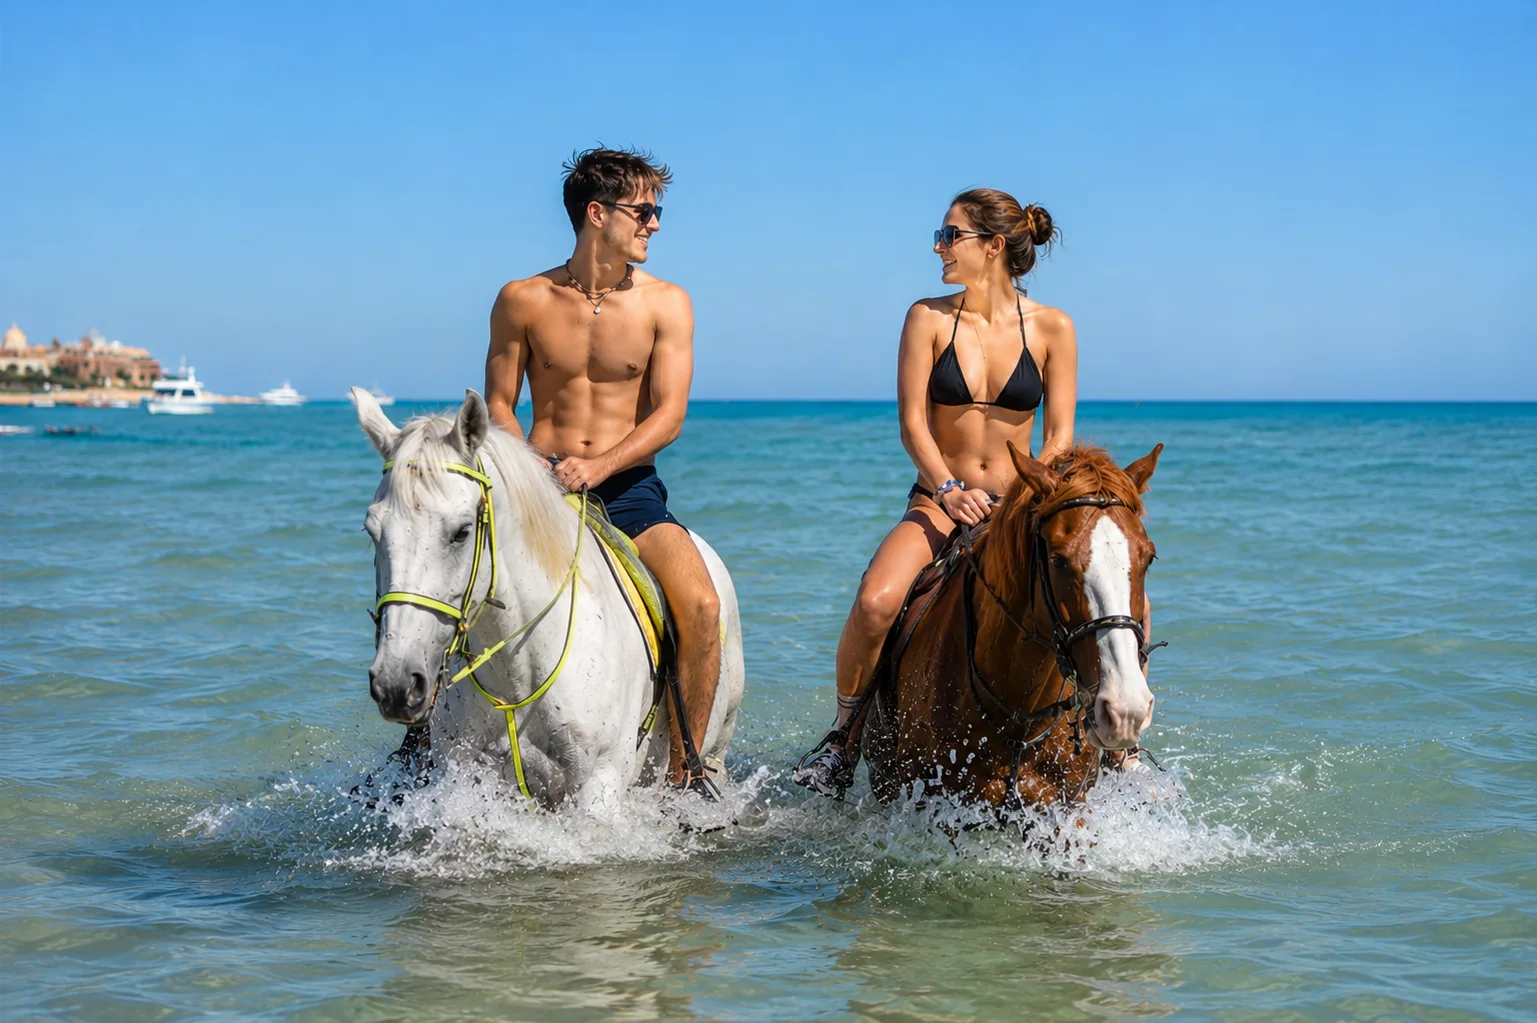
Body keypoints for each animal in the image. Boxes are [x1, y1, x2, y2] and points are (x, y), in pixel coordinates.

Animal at [352, 387, 746, 809]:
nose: (396, 685)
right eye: (372, 530)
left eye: (461, 531)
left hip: (715, 745)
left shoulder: (600, 785)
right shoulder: (471, 778)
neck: (519, 670)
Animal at [858, 440, 1163, 813]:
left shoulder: (1067, 808)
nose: (1125, 709)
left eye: (1149, 558)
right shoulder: (936, 806)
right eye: (1058, 561)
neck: (1020, 710)